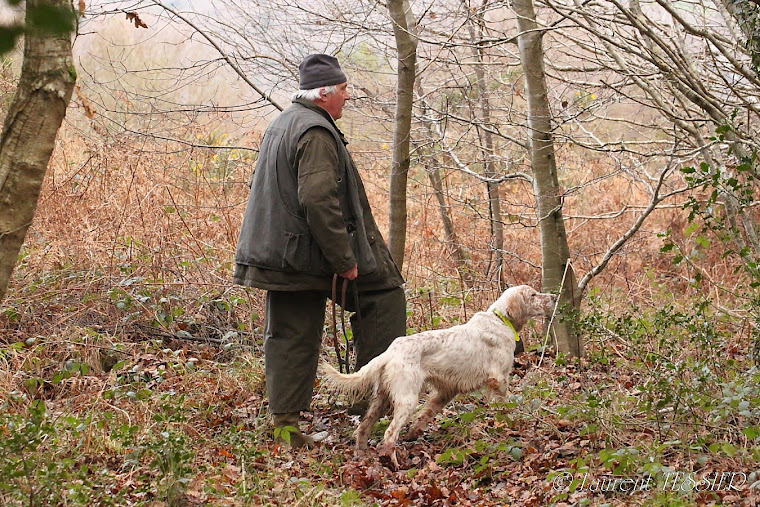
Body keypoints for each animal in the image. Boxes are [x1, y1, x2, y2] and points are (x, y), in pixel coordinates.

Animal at [320, 286, 560, 452]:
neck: (500, 320)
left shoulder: (447, 390)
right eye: (533, 295)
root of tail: (390, 351)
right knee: (389, 434)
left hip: (382, 399)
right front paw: (509, 426)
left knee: (363, 428)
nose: (554, 297)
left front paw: (414, 433)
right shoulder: (498, 379)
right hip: (406, 399)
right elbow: (505, 407)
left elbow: (426, 414)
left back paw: (362, 456)